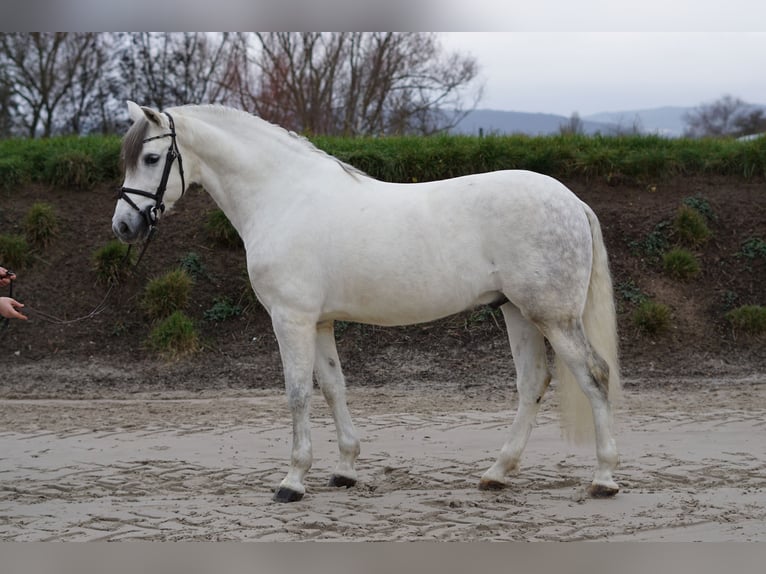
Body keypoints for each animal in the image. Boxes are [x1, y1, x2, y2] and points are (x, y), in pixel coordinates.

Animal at [112, 103, 624, 504]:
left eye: (152, 157)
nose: (123, 226)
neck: (282, 196)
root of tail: (572, 201)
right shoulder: (319, 323)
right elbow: (333, 388)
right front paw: (345, 470)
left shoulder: (291, 320)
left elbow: (297, 393)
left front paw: (292, 481)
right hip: (517, 312)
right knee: (533, 383)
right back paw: (497, 473)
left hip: (552, 317)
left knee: (595, 374)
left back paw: (603, 478)